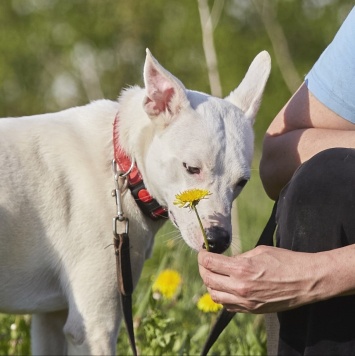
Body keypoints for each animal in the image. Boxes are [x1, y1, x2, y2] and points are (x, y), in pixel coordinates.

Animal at [0, 48, 270, 354]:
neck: (122, 168)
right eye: (191, 168)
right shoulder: (93, 329)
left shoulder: (51, 319)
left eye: (241, 182)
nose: (218, 240)